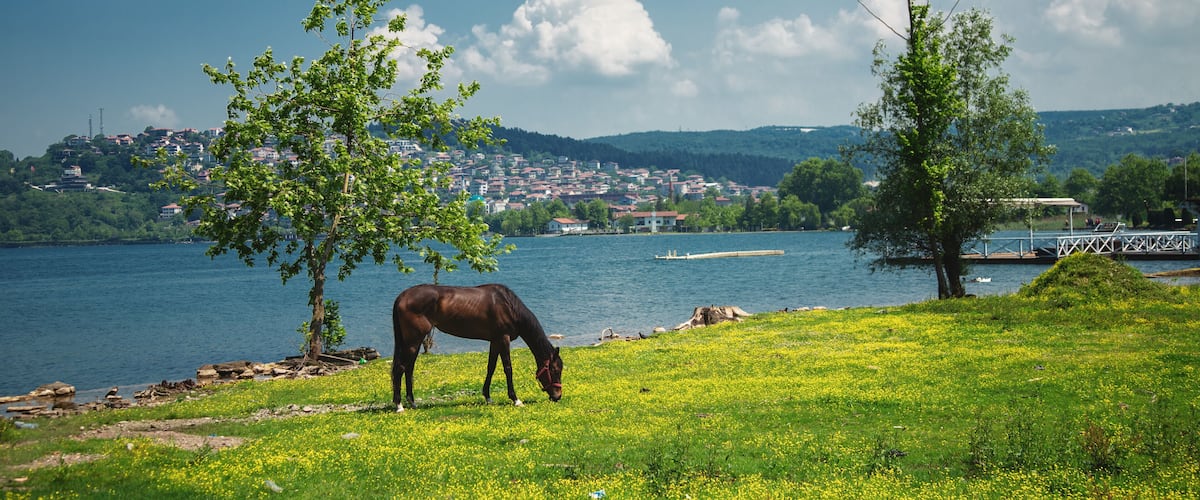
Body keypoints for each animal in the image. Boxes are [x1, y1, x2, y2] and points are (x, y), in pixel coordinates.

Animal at [391, 283, 563, 412]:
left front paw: (488, 397)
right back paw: (399, 406)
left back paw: (412, 402)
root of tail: (402, 296)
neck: (508, 306)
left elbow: (491, 367)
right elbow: (508, 368)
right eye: (555, 370)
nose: (558, 396)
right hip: (413, 341)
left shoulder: (495, 341)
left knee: (409, 369)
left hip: (414, 342)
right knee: (401, 368)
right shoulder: (504, 339)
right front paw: (516, 399)